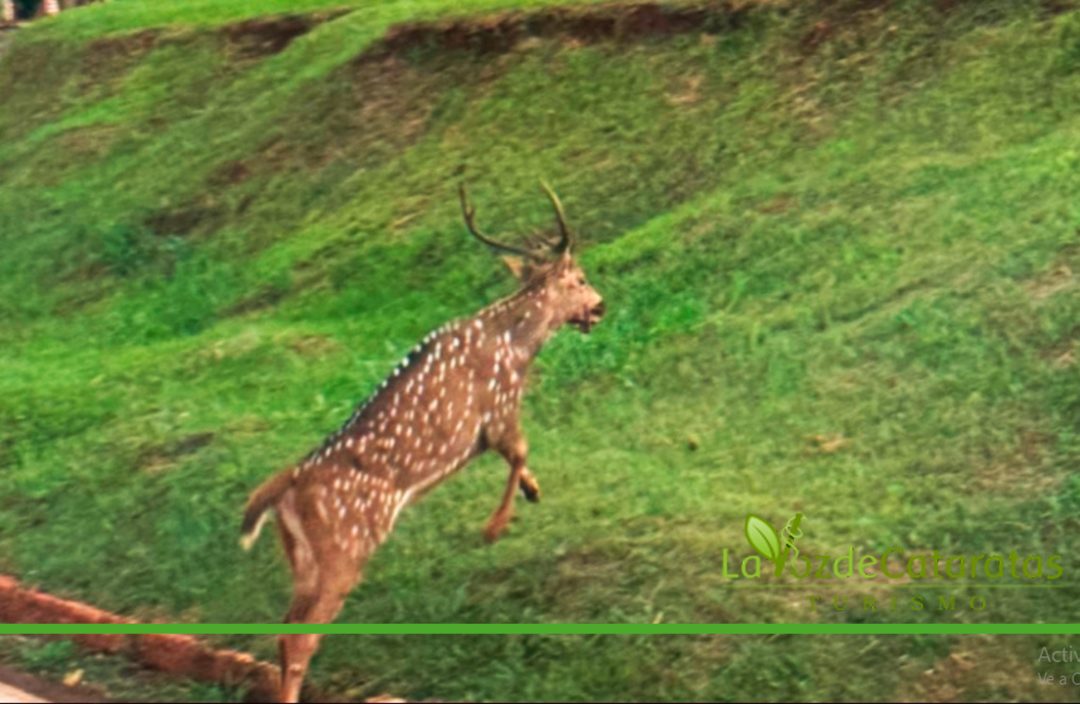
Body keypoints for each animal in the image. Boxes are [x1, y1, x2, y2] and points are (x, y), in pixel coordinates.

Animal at [239, 182, 604, 704]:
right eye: (579, 277)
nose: (600, 306)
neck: (518, 348)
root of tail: (283, 489)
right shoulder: (498, 408)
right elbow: (520, 450)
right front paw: (495, 525)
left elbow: (517, 457)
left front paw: (532, 492)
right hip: (344, 548)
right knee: (300, 637)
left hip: (302, 558)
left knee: (286, 627)